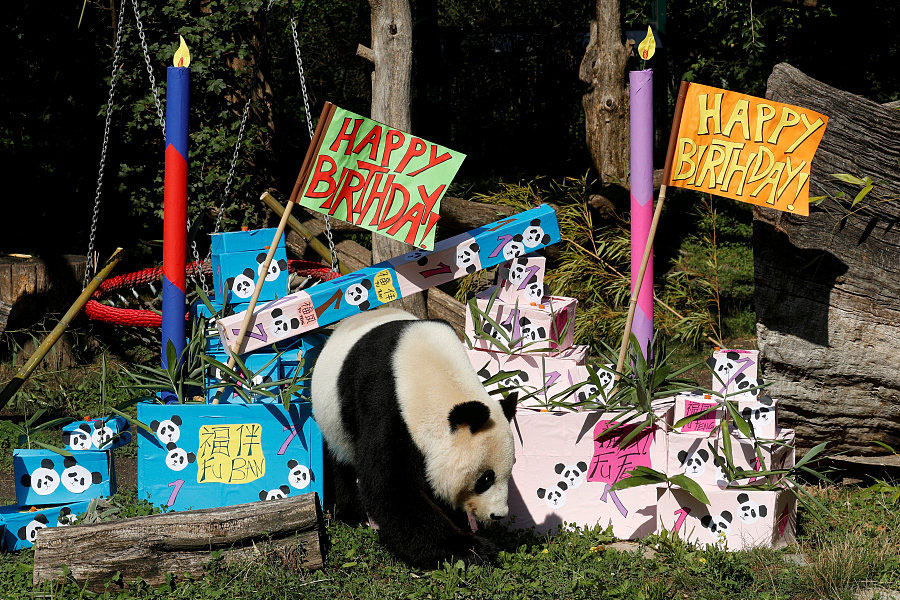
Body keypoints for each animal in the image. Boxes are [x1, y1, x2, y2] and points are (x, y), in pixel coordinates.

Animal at [312, 310, 516, 568]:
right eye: (486, 479)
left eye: (509, 471)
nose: (497, 514)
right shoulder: (387, 404)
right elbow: (391, 487)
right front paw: (472, 549)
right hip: (333, 420)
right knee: (341, 463)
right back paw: (353, 515)